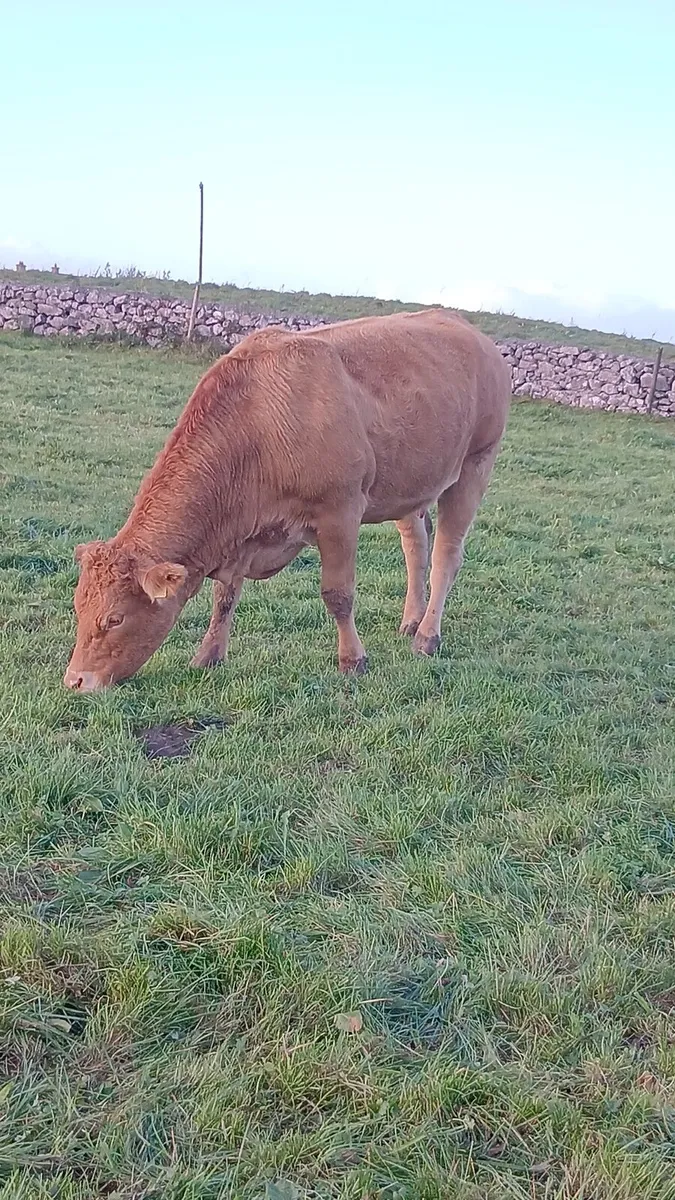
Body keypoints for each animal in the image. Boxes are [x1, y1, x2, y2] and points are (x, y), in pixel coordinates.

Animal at [64, 309, 511, 692]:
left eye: (115, 618)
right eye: (78, 608)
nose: (76, 680)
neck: (256, 426)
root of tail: (473, 334)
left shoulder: (340, 512)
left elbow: (338, 595)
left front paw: (353, 660)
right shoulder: (242, 535)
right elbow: (225, 597)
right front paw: (209, 655)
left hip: (475, 464)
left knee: (445, 557)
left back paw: (427, 637)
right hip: (409, 486)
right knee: (415, 547)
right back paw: (411, 621)